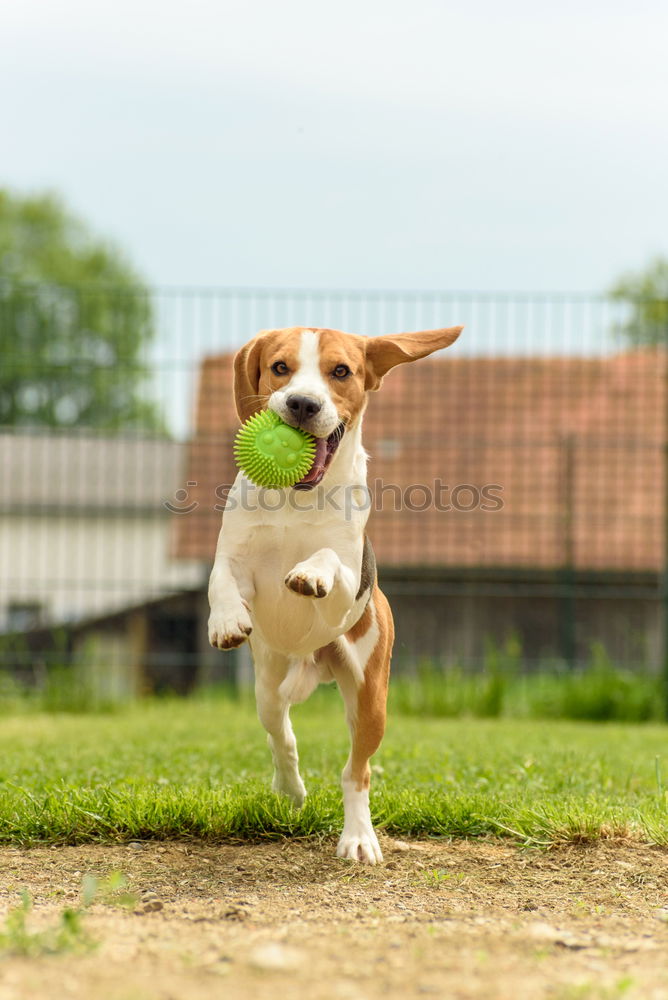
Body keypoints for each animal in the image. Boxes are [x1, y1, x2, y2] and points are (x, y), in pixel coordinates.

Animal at [207, 324, 460, 864]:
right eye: (280, 367)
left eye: (340, 371)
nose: (302, 403)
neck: (295, 499)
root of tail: (315, 660)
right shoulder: (234, 556)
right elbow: (222, 579)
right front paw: (226, 620)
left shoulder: (346, 582)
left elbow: (327, 562)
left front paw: (308, 574)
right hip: (267, 686)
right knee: (281, 733)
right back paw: (289, 789)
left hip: (370, 698)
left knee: (356, 771)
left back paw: (359, 837)